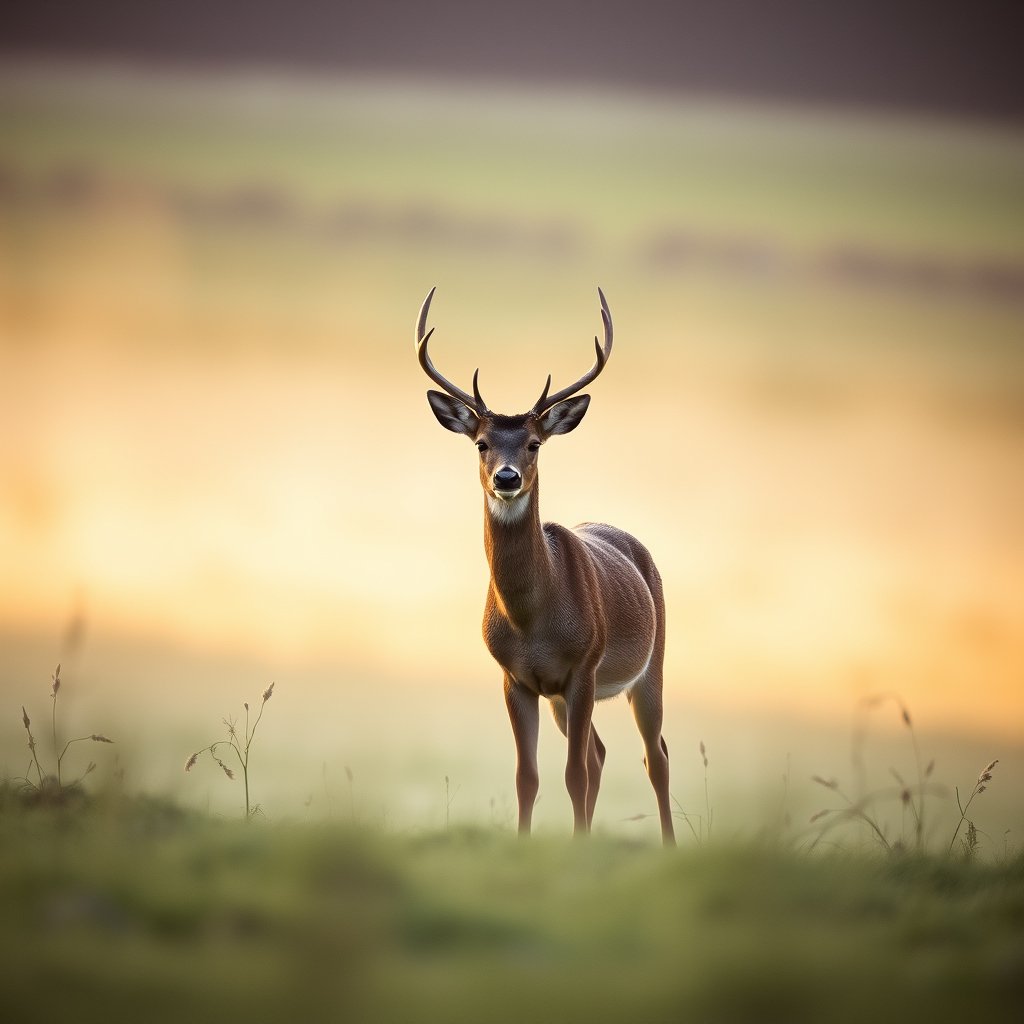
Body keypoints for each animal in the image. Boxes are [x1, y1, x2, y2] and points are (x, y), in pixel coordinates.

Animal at [416, 287, 676, 846]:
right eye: (481, 443)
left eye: (534, 443)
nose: (507, 478)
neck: (532, 621)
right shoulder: (516, 678)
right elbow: (528, 776)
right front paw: (528, 843)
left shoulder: (583, 667)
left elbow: (572, 773)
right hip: (563, 697)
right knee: (601, 753)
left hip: (652, 665)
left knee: (655, 756)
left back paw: (669, 844)